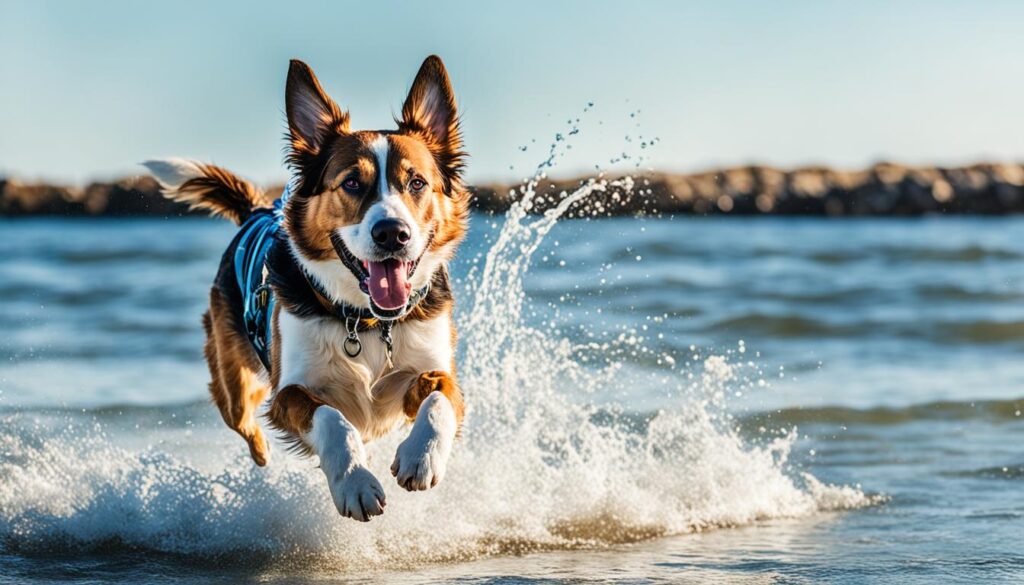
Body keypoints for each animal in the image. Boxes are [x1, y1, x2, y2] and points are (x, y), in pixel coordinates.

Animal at [143, 54, 468, 522]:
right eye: (351, 182)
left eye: (417, 183)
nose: (393, 233)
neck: (366, 321)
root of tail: (257, 210)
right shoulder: (289, 393)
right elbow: (332, 419)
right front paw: (354, 481)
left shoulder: (436, 370)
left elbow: (439, 399)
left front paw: (421, 456)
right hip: (235, 383)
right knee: (244, 420)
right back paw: (263, 453)